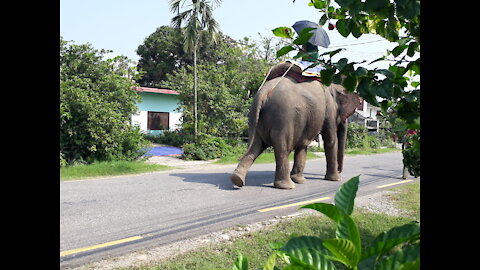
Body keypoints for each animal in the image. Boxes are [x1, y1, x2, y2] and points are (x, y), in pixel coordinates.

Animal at [232, 62, 360, 189]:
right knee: (283, 148)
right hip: (284, 118)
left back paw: (237, 180)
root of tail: (264, 91)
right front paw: (335, 179)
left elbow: (303, 146)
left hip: (256, 119)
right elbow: (330, 141)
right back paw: (287, 186)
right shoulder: (329, 109)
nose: (340, 171)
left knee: (255, 146)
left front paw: (300, 180)